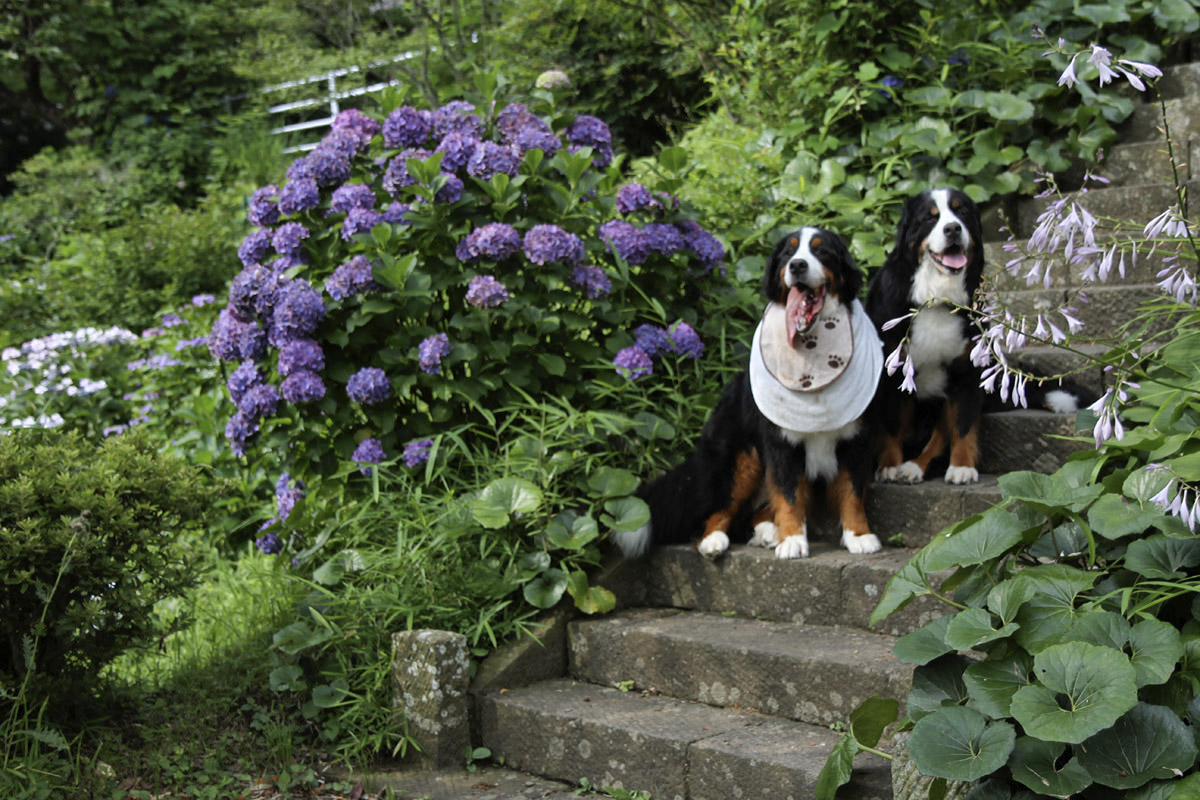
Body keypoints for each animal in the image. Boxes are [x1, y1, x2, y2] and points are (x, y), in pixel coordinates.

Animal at [619, 227, 883, 561]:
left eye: (821, 251)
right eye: (789, 253)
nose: (798, 265)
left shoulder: (857, 438)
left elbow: (852, 492)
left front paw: (859, 536)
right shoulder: (780, 442)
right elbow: (789, 494)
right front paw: (792, 540)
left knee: (754, 513)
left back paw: (767, 532)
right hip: (739, 458)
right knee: (718, 510)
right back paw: (716, 540)